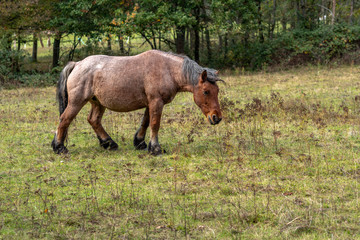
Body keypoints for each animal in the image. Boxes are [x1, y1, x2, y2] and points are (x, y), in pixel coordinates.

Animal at [51, 50, 222, 156]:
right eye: (206, 91)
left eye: (217, 91)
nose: (217, 117)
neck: (167, 69)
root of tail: (77, 64)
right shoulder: (156, 102)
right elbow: (154, 124)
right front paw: (156, 149)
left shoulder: (150, 103)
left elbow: (145, 122)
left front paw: (140, 143)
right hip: (77, 102)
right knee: (64, 119)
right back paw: (59, 147)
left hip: (98, 103)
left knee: (94, 120)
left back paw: (108, 143)